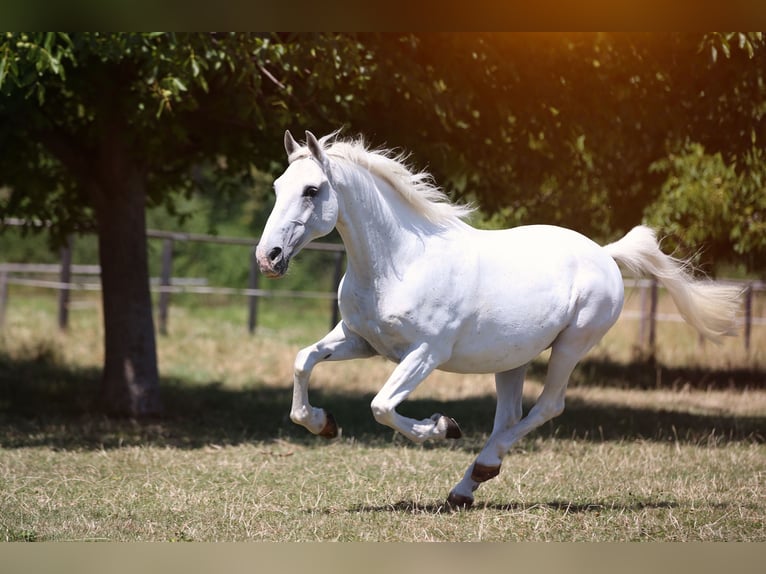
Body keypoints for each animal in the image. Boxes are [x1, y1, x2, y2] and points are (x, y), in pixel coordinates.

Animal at [256, 130, 744, 508]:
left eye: (312, 190)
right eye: (277, 187)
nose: (268, 257)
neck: (399, 263)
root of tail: (605, 254)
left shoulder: (425, 353)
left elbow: (381, 406)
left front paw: (443, 427)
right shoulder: (360, 340)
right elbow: (303, 361)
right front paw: (323, 424)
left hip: (572, 345)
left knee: (547, 406)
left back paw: (480, 466)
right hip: (513, 359)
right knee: (510, 415)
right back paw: (466, 488)